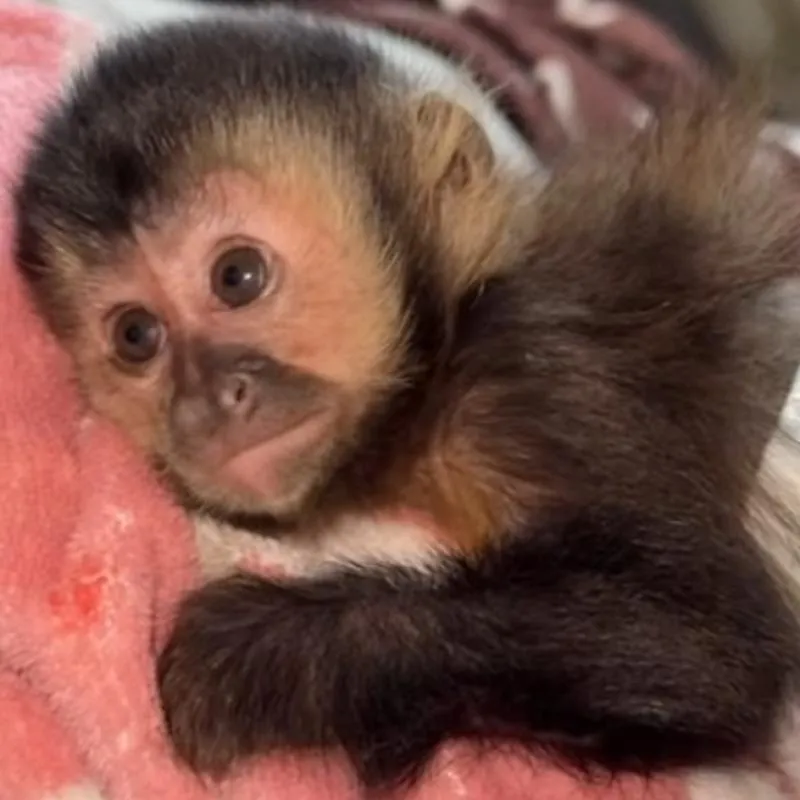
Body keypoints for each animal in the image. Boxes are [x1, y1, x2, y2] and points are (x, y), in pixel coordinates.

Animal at [12, 6, 800, 797]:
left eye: (238, 275)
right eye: (135, 335)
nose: (208, 401)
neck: (437, 373)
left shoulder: (540, 385)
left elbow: (699, 641)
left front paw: (253, 657)